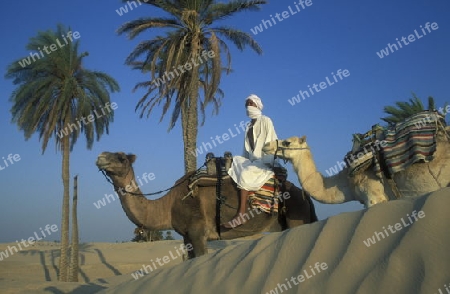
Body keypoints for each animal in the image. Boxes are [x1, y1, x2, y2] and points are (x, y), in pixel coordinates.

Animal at [96, 152, 318, 258]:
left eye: (121, 157)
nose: (100, 157)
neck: (169, 205)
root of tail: (305, 195)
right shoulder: (186, 236)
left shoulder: (198, 232)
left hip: (297, 216)